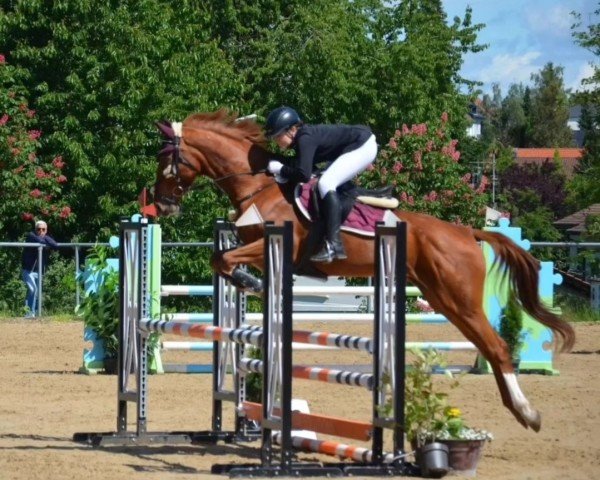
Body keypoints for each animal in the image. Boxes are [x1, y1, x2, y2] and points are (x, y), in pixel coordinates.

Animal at [149, 109, 572, 432]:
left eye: (165, 162)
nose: (161, 206)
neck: (260, 188)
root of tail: (467, 231)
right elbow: (219, 260)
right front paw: (249, 281)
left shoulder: (276, 243)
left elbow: (223, 260)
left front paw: (248, 280)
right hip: (445, 299)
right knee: (488, 345)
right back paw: (517, 409)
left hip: (459, 298)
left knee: (498, 346)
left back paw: (528, 412)